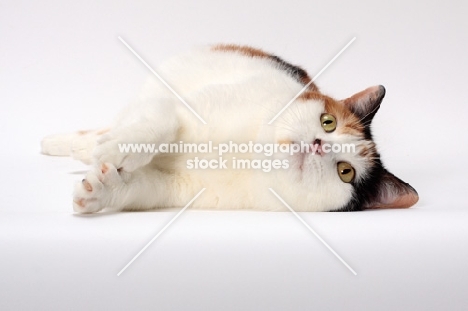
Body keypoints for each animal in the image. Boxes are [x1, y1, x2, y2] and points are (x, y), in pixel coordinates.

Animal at [41, 44, 420, 214]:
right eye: (328, 123)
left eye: (345, 172)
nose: (317, 144)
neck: (251, 155)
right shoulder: (176, 107)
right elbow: (161, 122)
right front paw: (117, 149)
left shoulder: (175, 190)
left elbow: (140, 187)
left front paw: (101, 191)